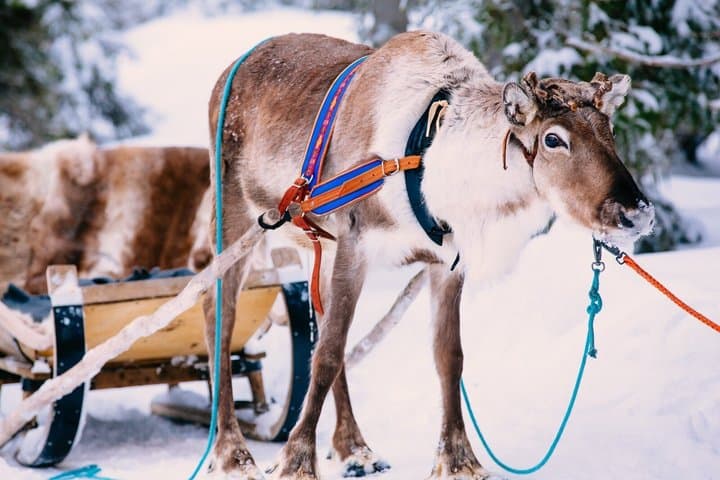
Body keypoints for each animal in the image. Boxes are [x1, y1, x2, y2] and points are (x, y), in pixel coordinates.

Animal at [203, 31, 654, 479]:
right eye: (553, 139)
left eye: (610, 132)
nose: (636, 213)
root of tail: (227, 72)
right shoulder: (355, 241)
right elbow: (328, 354)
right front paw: (295, 462)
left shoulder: (446, 263)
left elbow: (448, 357)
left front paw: (459, 460)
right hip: (236, 214)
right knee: (218, 313)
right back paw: (232, 453)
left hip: (321, 245)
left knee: (321, 320)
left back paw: (354, 448)